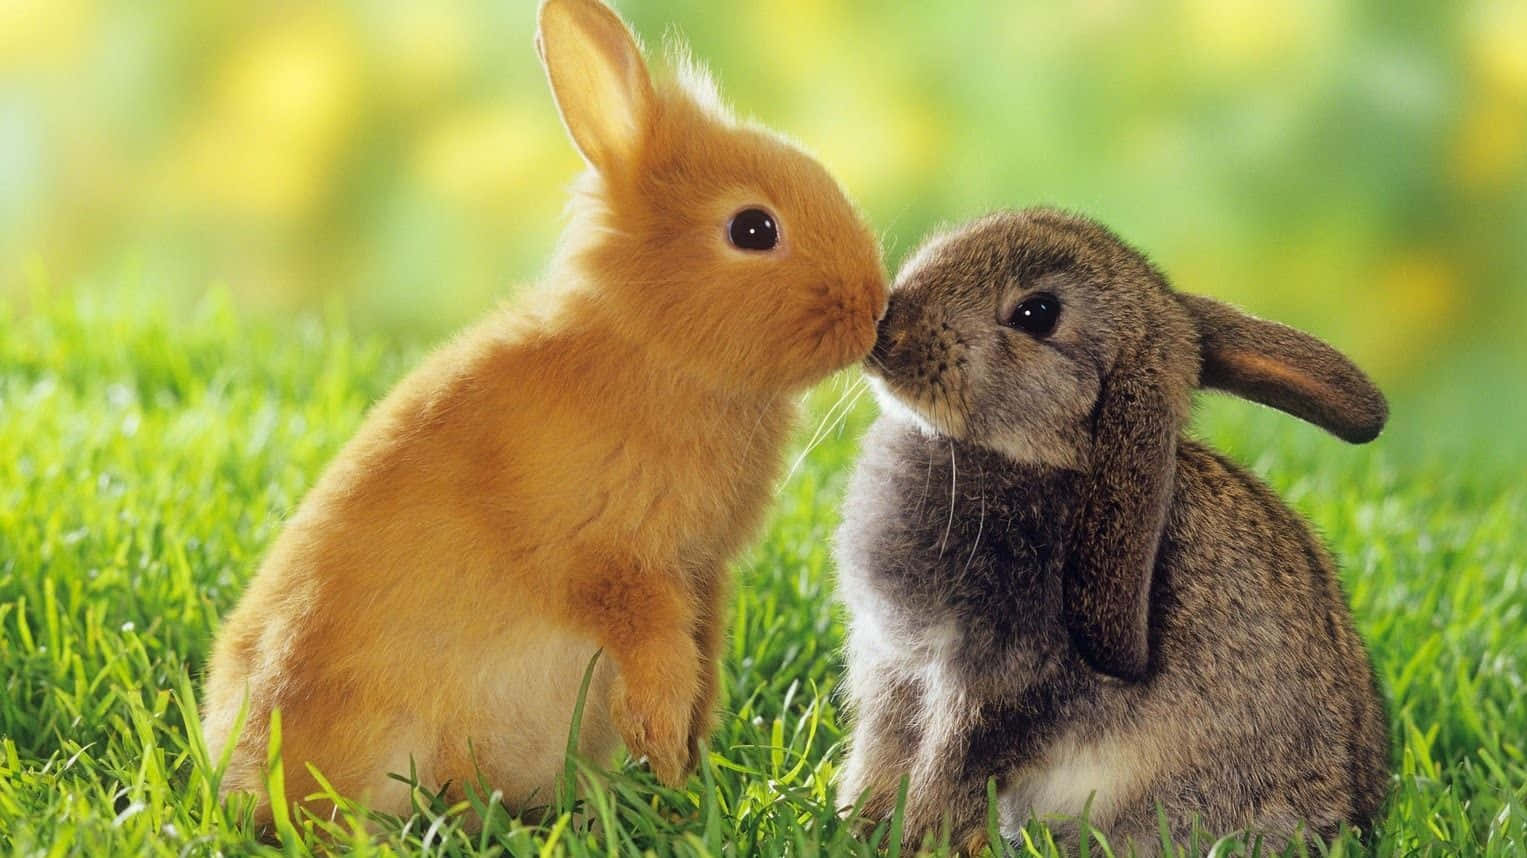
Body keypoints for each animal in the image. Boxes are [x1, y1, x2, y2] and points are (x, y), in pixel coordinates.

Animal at [201, 0, 887, 826]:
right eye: (753, 229)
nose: (875, 308)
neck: (651, 349)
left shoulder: (702, 575)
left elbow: (702, 659)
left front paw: (686, 766)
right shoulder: (614, 564)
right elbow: (656, 655)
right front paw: (664, 755)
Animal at [833, 208, 1389, 855]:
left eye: (1037, 314)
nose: (887, 331)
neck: (1045, 457)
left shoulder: (995, 685)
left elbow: (948, 769)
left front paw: (910, 837)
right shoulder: (894, 668)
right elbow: (882, 754)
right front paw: (855, 823)